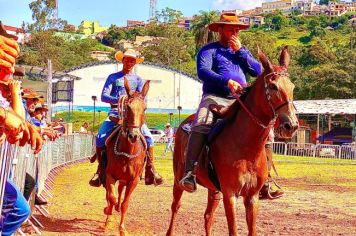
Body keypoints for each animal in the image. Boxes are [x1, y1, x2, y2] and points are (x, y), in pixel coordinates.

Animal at [103, 78, 149, 236]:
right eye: (127, 107)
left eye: (145, 108)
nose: (133, 135)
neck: (127, 154)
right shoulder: (109, 175)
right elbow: (111, 197)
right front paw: (108, 213)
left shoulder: (133, 180)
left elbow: (124, 204)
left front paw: (122, 228)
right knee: (110, 194)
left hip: (124, 180)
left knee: (120, 192)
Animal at [166, 46, 298, 236]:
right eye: (273, 86)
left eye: (292, 87)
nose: (291, 125)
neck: (246, 147)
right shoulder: (230, 195)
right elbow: (233, 230)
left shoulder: (252, 197)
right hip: (178, 180)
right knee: (175, 207)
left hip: (213, 189)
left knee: (208, 216)